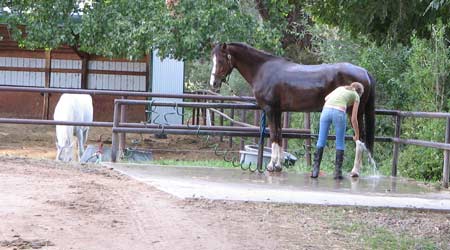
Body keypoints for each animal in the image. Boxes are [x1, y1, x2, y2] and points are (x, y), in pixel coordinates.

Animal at [211, 42, 376, 172]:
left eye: (220, 60)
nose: (214, 83)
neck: (262, 70)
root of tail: (364, 72)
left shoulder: (270, 110)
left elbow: (273, 135)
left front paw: (271, 166)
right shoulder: (278, 111)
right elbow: (279, 135)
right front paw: (278, 165)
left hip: (354, 113)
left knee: (360, 140)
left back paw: (355, 171)